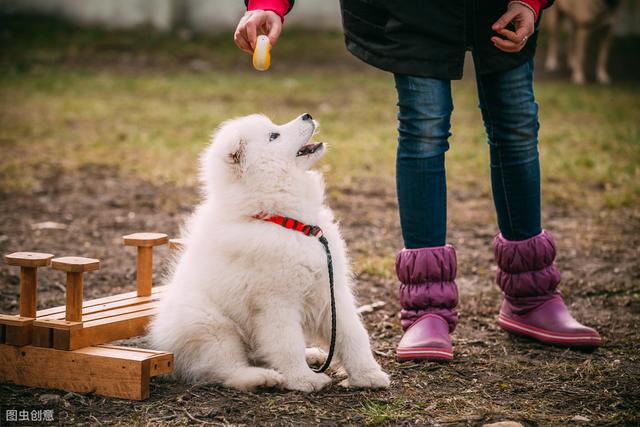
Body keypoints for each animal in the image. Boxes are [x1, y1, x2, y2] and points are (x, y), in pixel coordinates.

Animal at [149, 112, 390, 392]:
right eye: (273, 136)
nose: (307, 115)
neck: (287, 221)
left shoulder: (330, 291)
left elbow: (352, 334)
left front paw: (368, 375)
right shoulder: (275, 302)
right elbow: (288, 344)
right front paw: (304, 380)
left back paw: (311, 355)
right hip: (211, 326)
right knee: (226, 369)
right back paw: (263, 378)